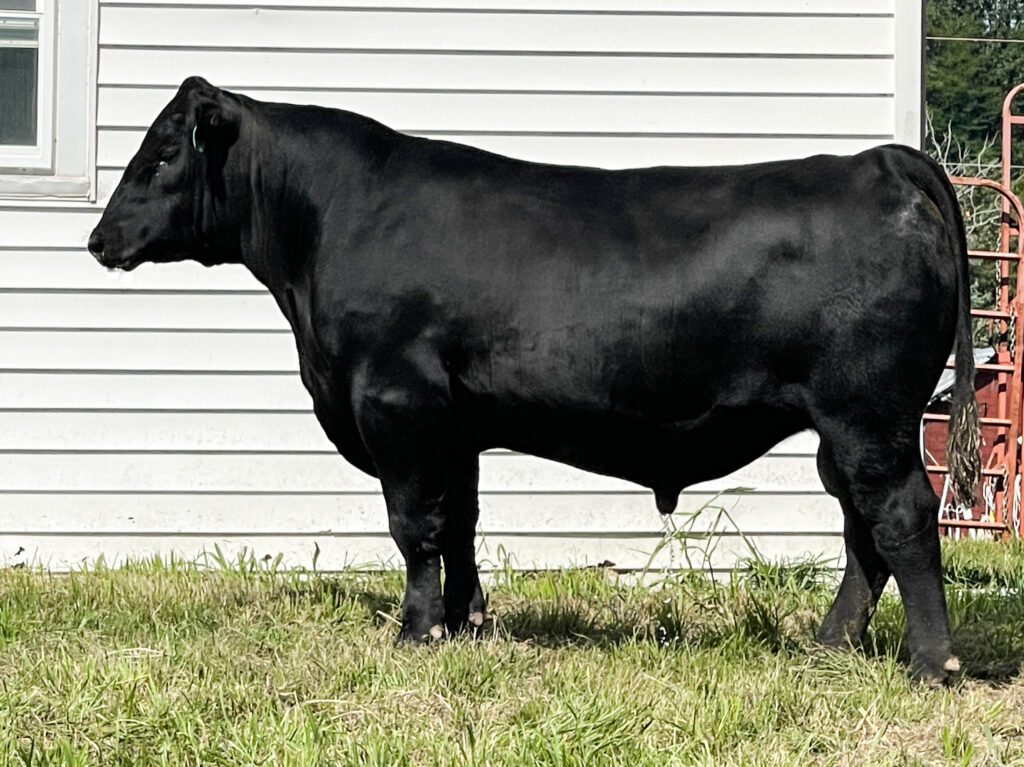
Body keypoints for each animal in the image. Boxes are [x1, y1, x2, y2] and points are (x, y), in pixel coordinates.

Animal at [89, 77, 980, 685]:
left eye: (163, 152)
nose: (99, 238)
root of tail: (879, 162)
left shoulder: (397, 403)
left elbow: (414, 526)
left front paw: (416, 632)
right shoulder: (455, 425)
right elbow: (460, 524)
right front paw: (468, 621)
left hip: (867, 414)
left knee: (901, 515)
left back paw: (931, 663)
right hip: (844, 427)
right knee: (862, 529)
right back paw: (828, 644)